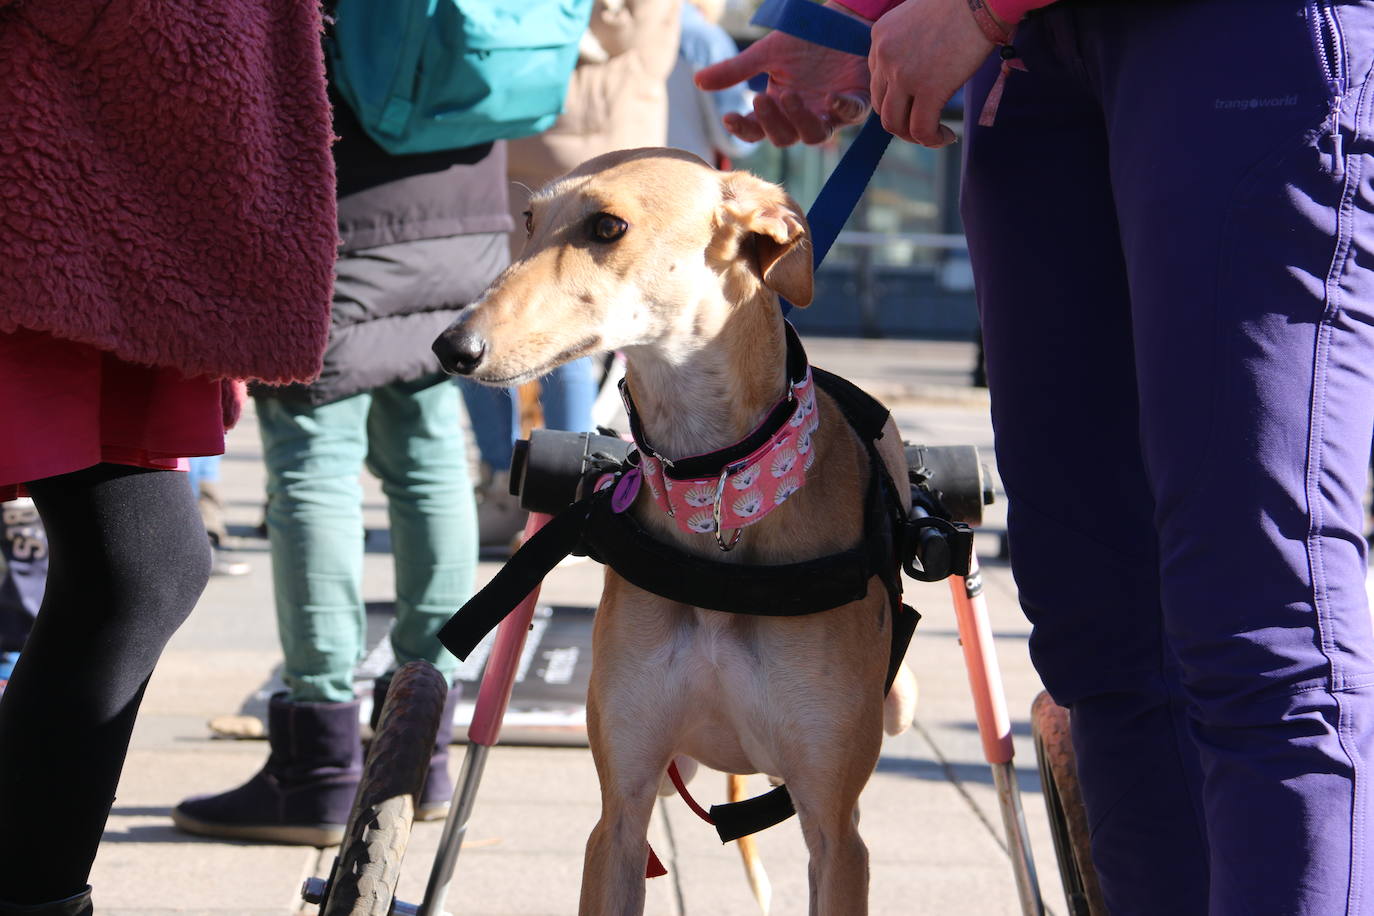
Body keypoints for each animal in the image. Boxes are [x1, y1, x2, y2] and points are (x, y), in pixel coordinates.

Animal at [434, 146, 917, 911]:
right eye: (530, 220)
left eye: (608, 226)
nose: (452, 347)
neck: (721, 490)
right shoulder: (621, 812)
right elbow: (618, 824)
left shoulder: (836, 833)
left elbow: (835, 835)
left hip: (891, 705)